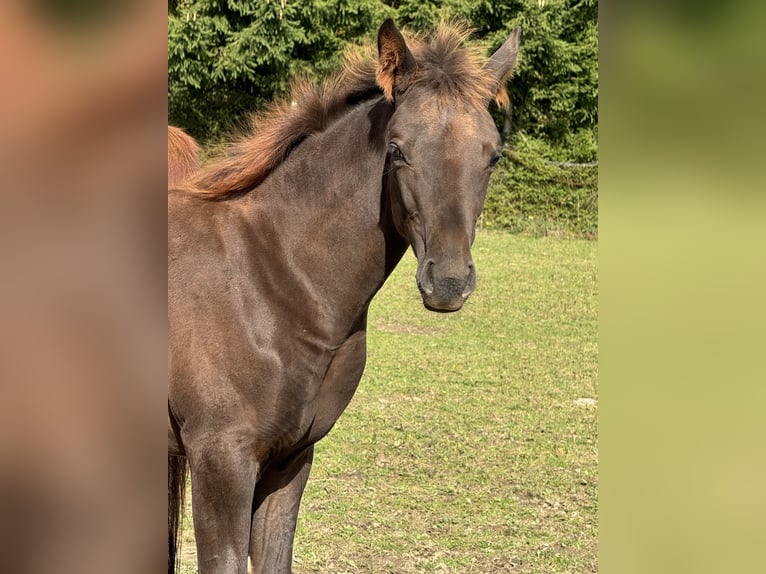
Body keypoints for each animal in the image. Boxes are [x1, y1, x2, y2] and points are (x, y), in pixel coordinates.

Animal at [168, 20, 520, 572]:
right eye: (397, 149)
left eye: (493, 155)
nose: (447, 283)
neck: (271, 281)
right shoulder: (220, 461)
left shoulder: (290, 459)